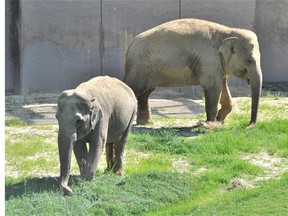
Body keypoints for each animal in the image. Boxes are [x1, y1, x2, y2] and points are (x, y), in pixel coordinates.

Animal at [123, 18, 260, 127]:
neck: (228, 31)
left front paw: (219, 120)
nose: (248, 126)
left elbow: (222, 85)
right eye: (249, 60)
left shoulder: (217, 63)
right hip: (138, 67)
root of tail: (130, 45)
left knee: (146, 92)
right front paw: (209, 125)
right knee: (134, 89)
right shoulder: (208, 58)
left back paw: (147, 124)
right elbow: (213, 87)